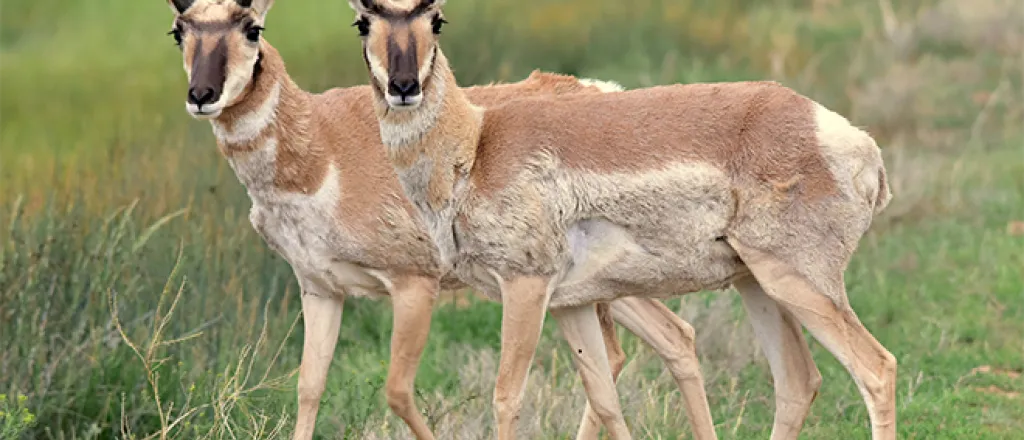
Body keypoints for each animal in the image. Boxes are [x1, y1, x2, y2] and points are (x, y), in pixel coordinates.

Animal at [161, 0, 720, 440]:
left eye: (252, 27)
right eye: (179, 30)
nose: (202, 96)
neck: (320, 149)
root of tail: (599, 91)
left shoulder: (414, 283)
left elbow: (397, 390)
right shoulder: (321, 289)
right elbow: (308, 386)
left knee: (637, 348)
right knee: (668, 337)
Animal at [346, 0, 897, 440]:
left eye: (436, 18)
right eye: (363, 20)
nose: (403, 87)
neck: (478, 145)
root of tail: (854, 141)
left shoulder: (526, 287)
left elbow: (506, 396)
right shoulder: (571, 305)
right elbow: (605, 400)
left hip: (796, 284)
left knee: (876, 369)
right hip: (758, 286)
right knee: (798, 382)